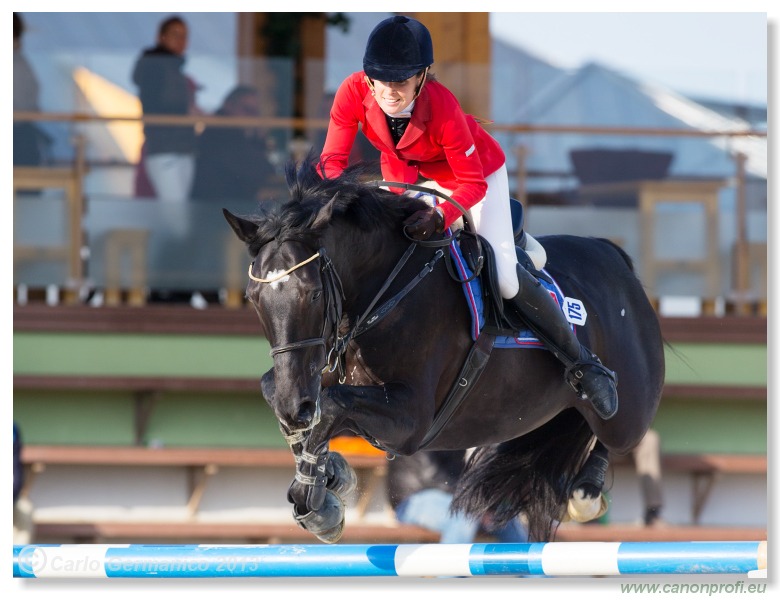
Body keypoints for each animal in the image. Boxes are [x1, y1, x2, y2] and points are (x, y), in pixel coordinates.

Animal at [224, 159, 664, 544]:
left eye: (313, 293)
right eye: (254, 298)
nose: (293, 407)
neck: (382, 289)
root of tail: (617, 260)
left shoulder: (412, 419)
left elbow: (332, 405)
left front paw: (317, 500)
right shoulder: (313, 369)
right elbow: (286, 395)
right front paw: (327, 478)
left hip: (627, 409)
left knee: (619, 428)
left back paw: (587, 477)